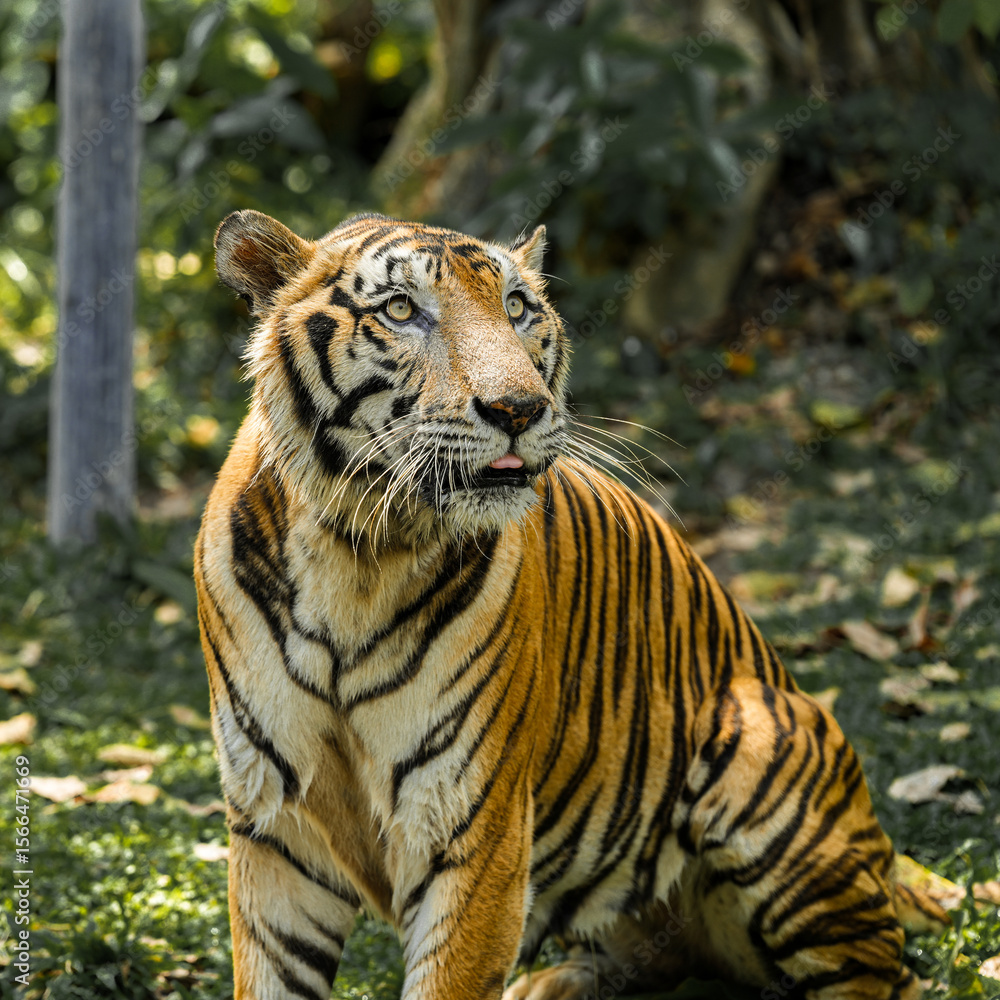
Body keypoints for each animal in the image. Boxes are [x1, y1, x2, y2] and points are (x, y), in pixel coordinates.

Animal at [195, 208, 948, 1000]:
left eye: (517, 307)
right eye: (401, 309)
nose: (519, 409)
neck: (359, 554)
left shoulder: (475, 828)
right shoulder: (275, 828)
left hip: (759, 751)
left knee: (884, 975)